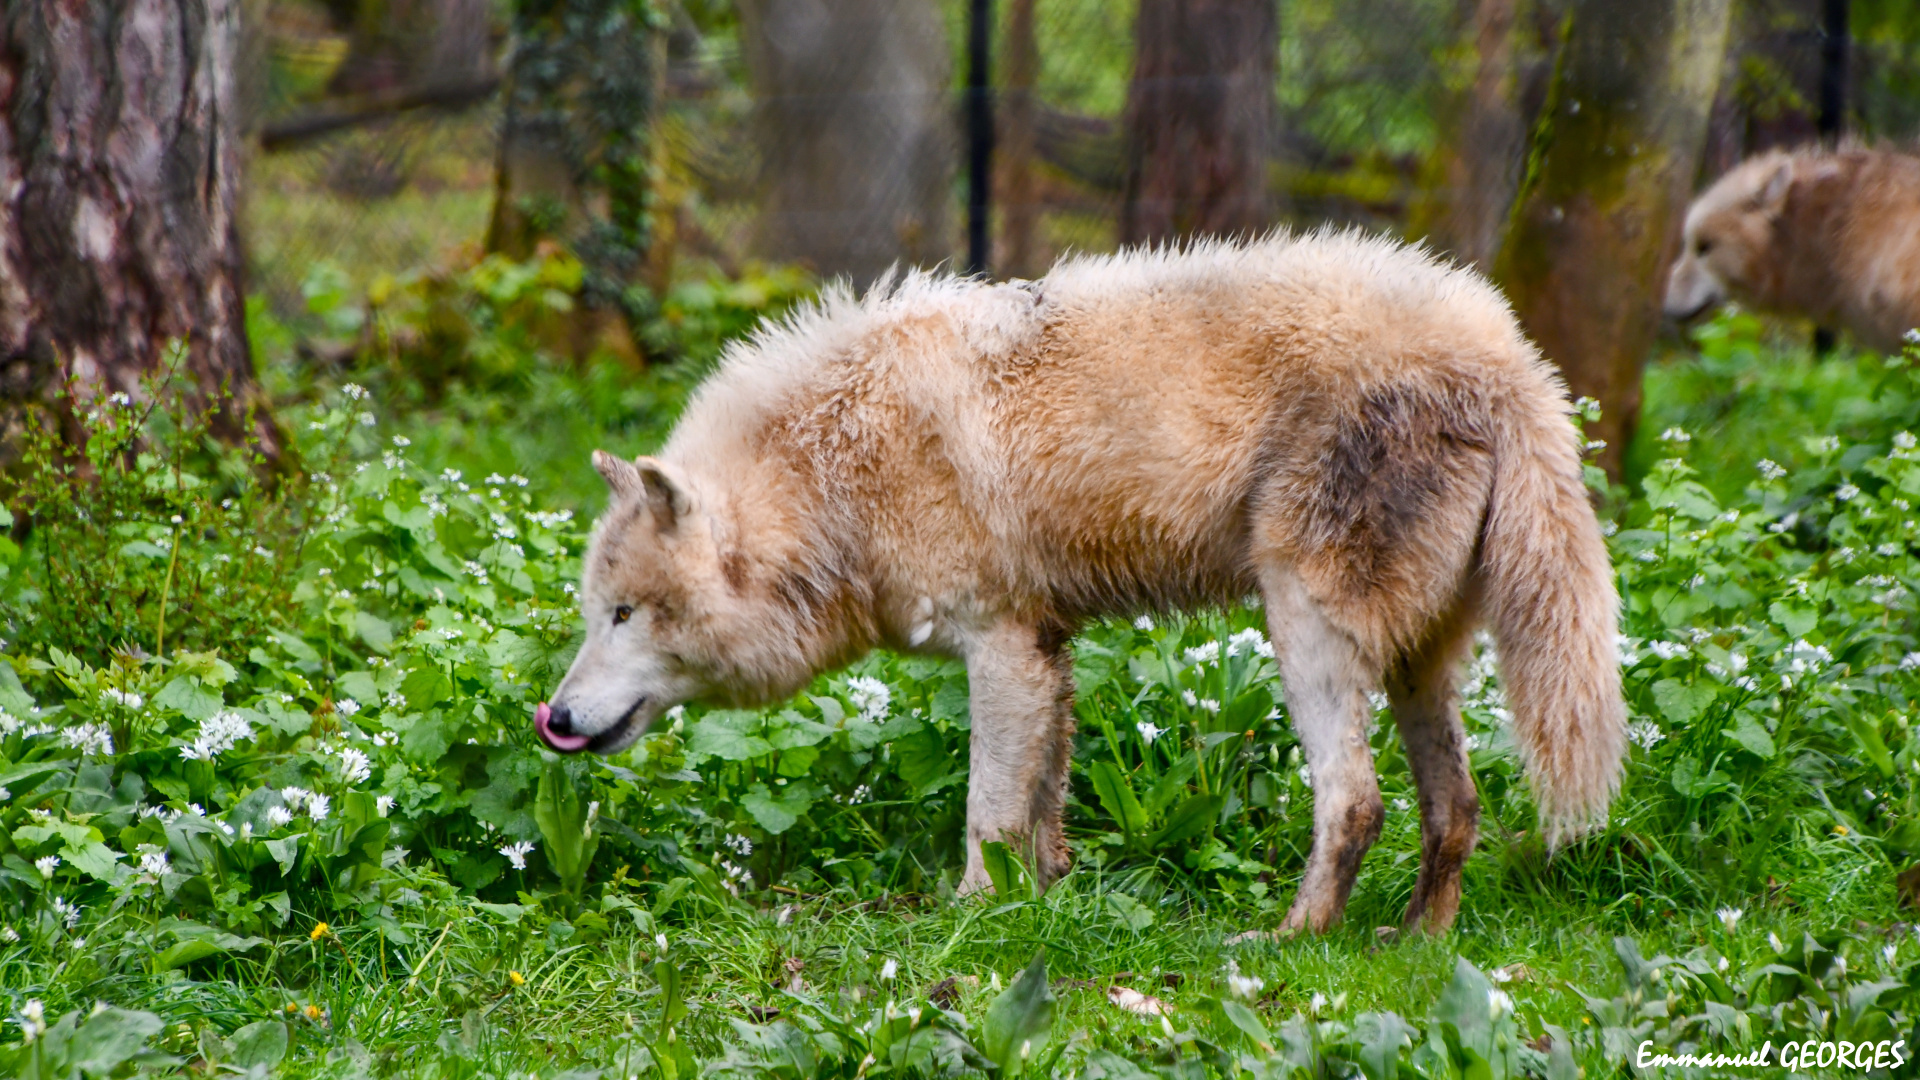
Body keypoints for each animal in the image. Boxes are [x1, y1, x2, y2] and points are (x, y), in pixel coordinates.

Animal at [537, 231, 1625, 935]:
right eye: (595, 614)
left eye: (624, 614)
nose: (553, 719)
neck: (833, 478)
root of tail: (1511, 359)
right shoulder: (1046, 645)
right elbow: (1043, 805)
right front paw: (1046, 897)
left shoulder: (999, 645)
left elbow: (987, 810)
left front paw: (972, 922)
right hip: (1416, 664)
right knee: (1457, 808)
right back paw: (1415, 946)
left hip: (1303, 629)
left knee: (1355, 802)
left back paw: (1290, 941)